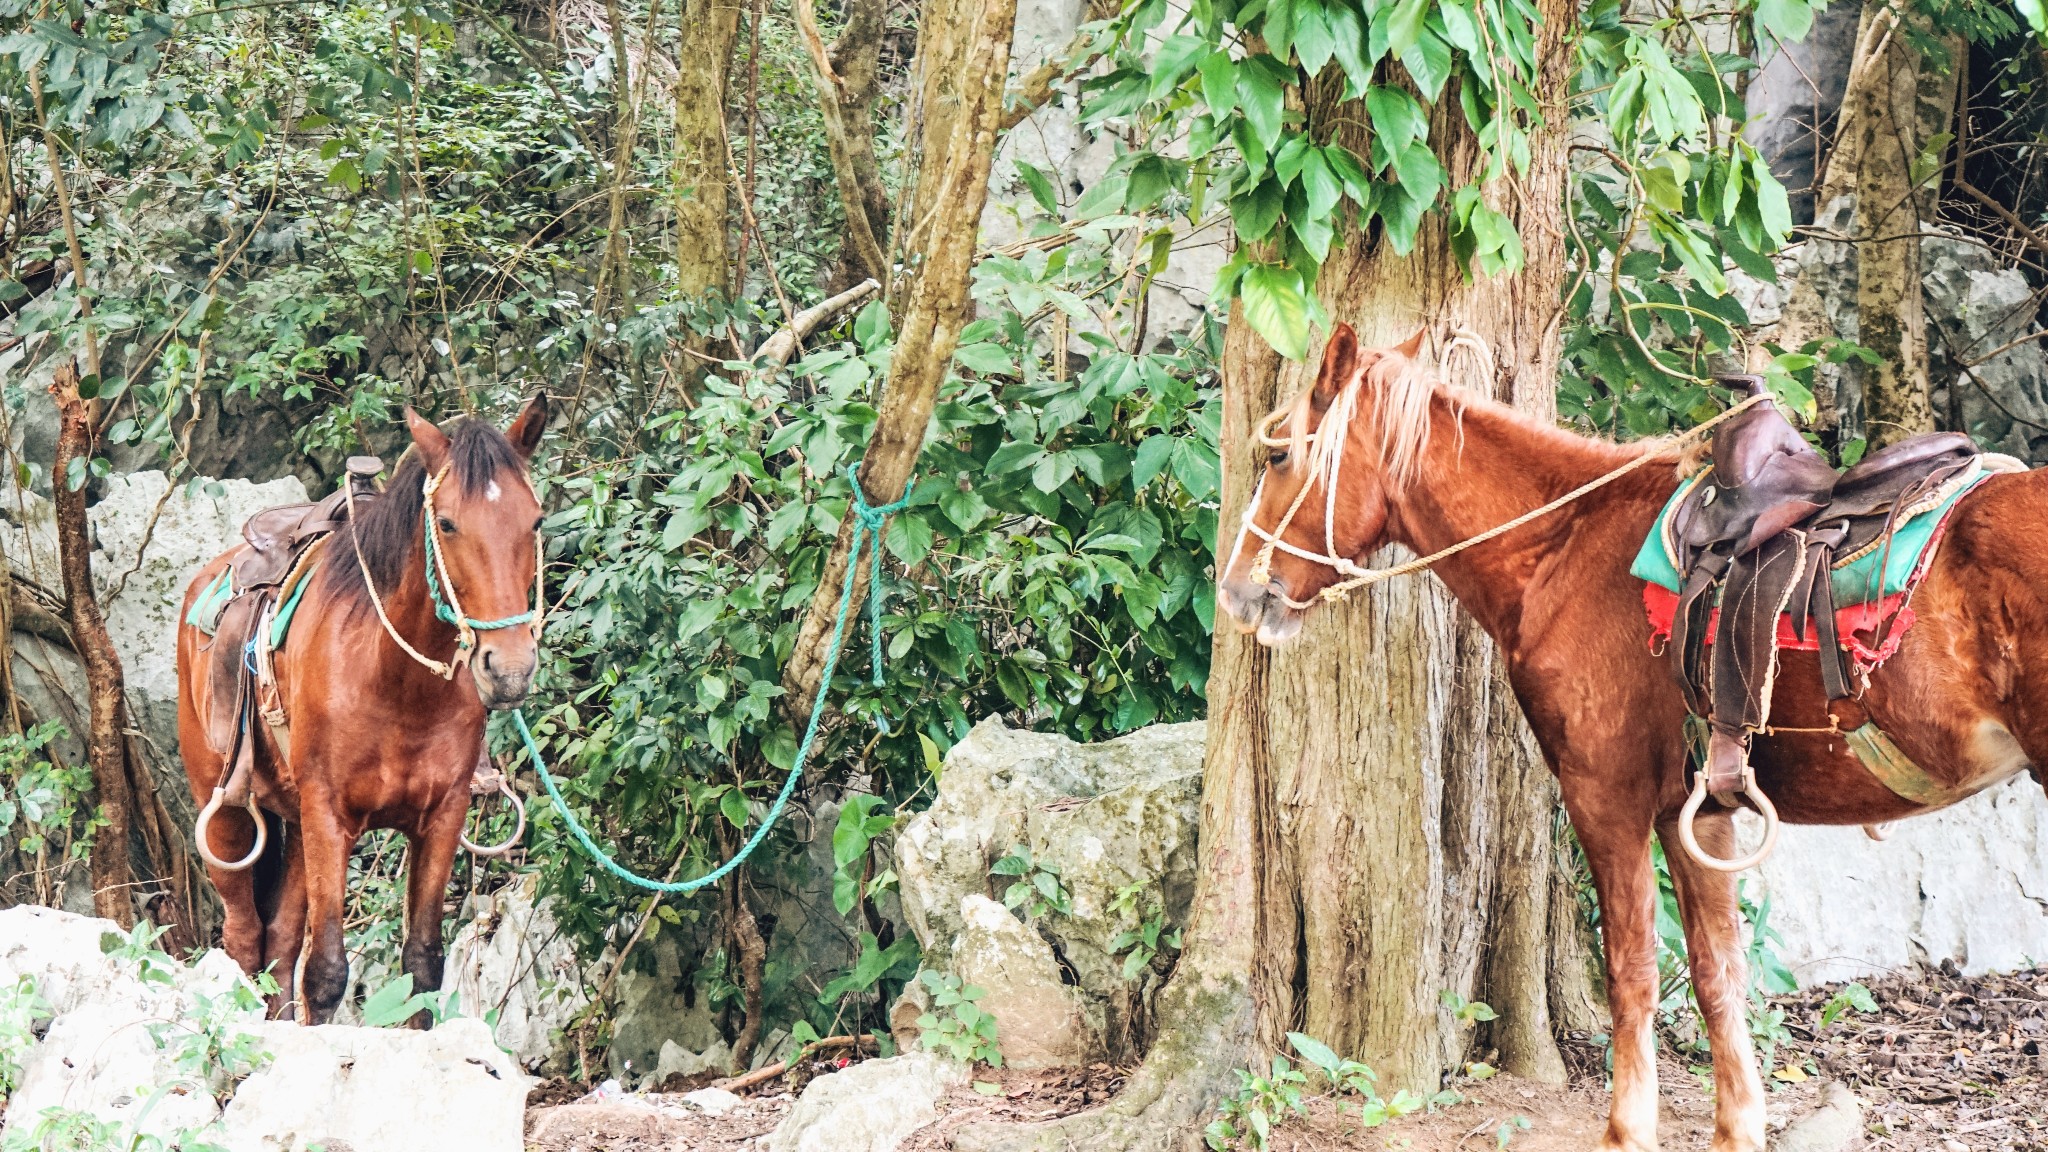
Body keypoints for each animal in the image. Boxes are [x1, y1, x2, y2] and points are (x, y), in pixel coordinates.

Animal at [177, 399, 544, 1016]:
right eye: (447, 523)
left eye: (536, 521)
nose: (510, 668)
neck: (396, 686)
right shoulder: (329, 815)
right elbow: (326, 971)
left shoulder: (442, 817)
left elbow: (422, 964)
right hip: (225, 810)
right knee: (245, 938)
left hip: (296, 820)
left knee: (279, 940)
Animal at [1212, 319, 2048, 1147]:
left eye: (1279, 453)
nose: (1237, 589)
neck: (1564, 546)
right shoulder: (1697, 814)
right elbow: (1717, 972)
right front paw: (1738, 1126)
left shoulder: (1604, 798)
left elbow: (1632, 970)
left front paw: (1626, 1127)